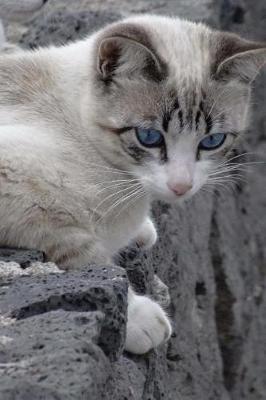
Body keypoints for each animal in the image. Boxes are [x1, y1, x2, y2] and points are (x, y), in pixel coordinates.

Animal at [0, 14, 264, 354]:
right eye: (149, 137)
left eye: (212, 141)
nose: (181, 186)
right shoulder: (18, 183)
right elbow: (84, 254)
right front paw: (139, 319)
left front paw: (142, 231)